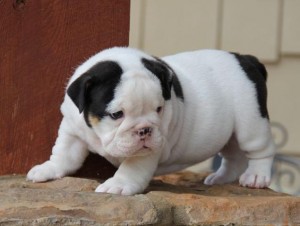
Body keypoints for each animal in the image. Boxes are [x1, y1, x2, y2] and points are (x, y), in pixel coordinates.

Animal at [27, 47, 276, 194]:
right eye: (116, 114)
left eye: (159, 109)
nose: (145, 129)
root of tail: (246, 59)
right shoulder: (72, 130)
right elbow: (64, 154)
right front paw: (48, 169)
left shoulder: (145, 152)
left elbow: (132, 168)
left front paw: (117, 185)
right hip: (229, 133)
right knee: (234, 156)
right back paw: (221, 178)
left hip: (251, 122)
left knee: (260, 150)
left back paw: (256, 177)